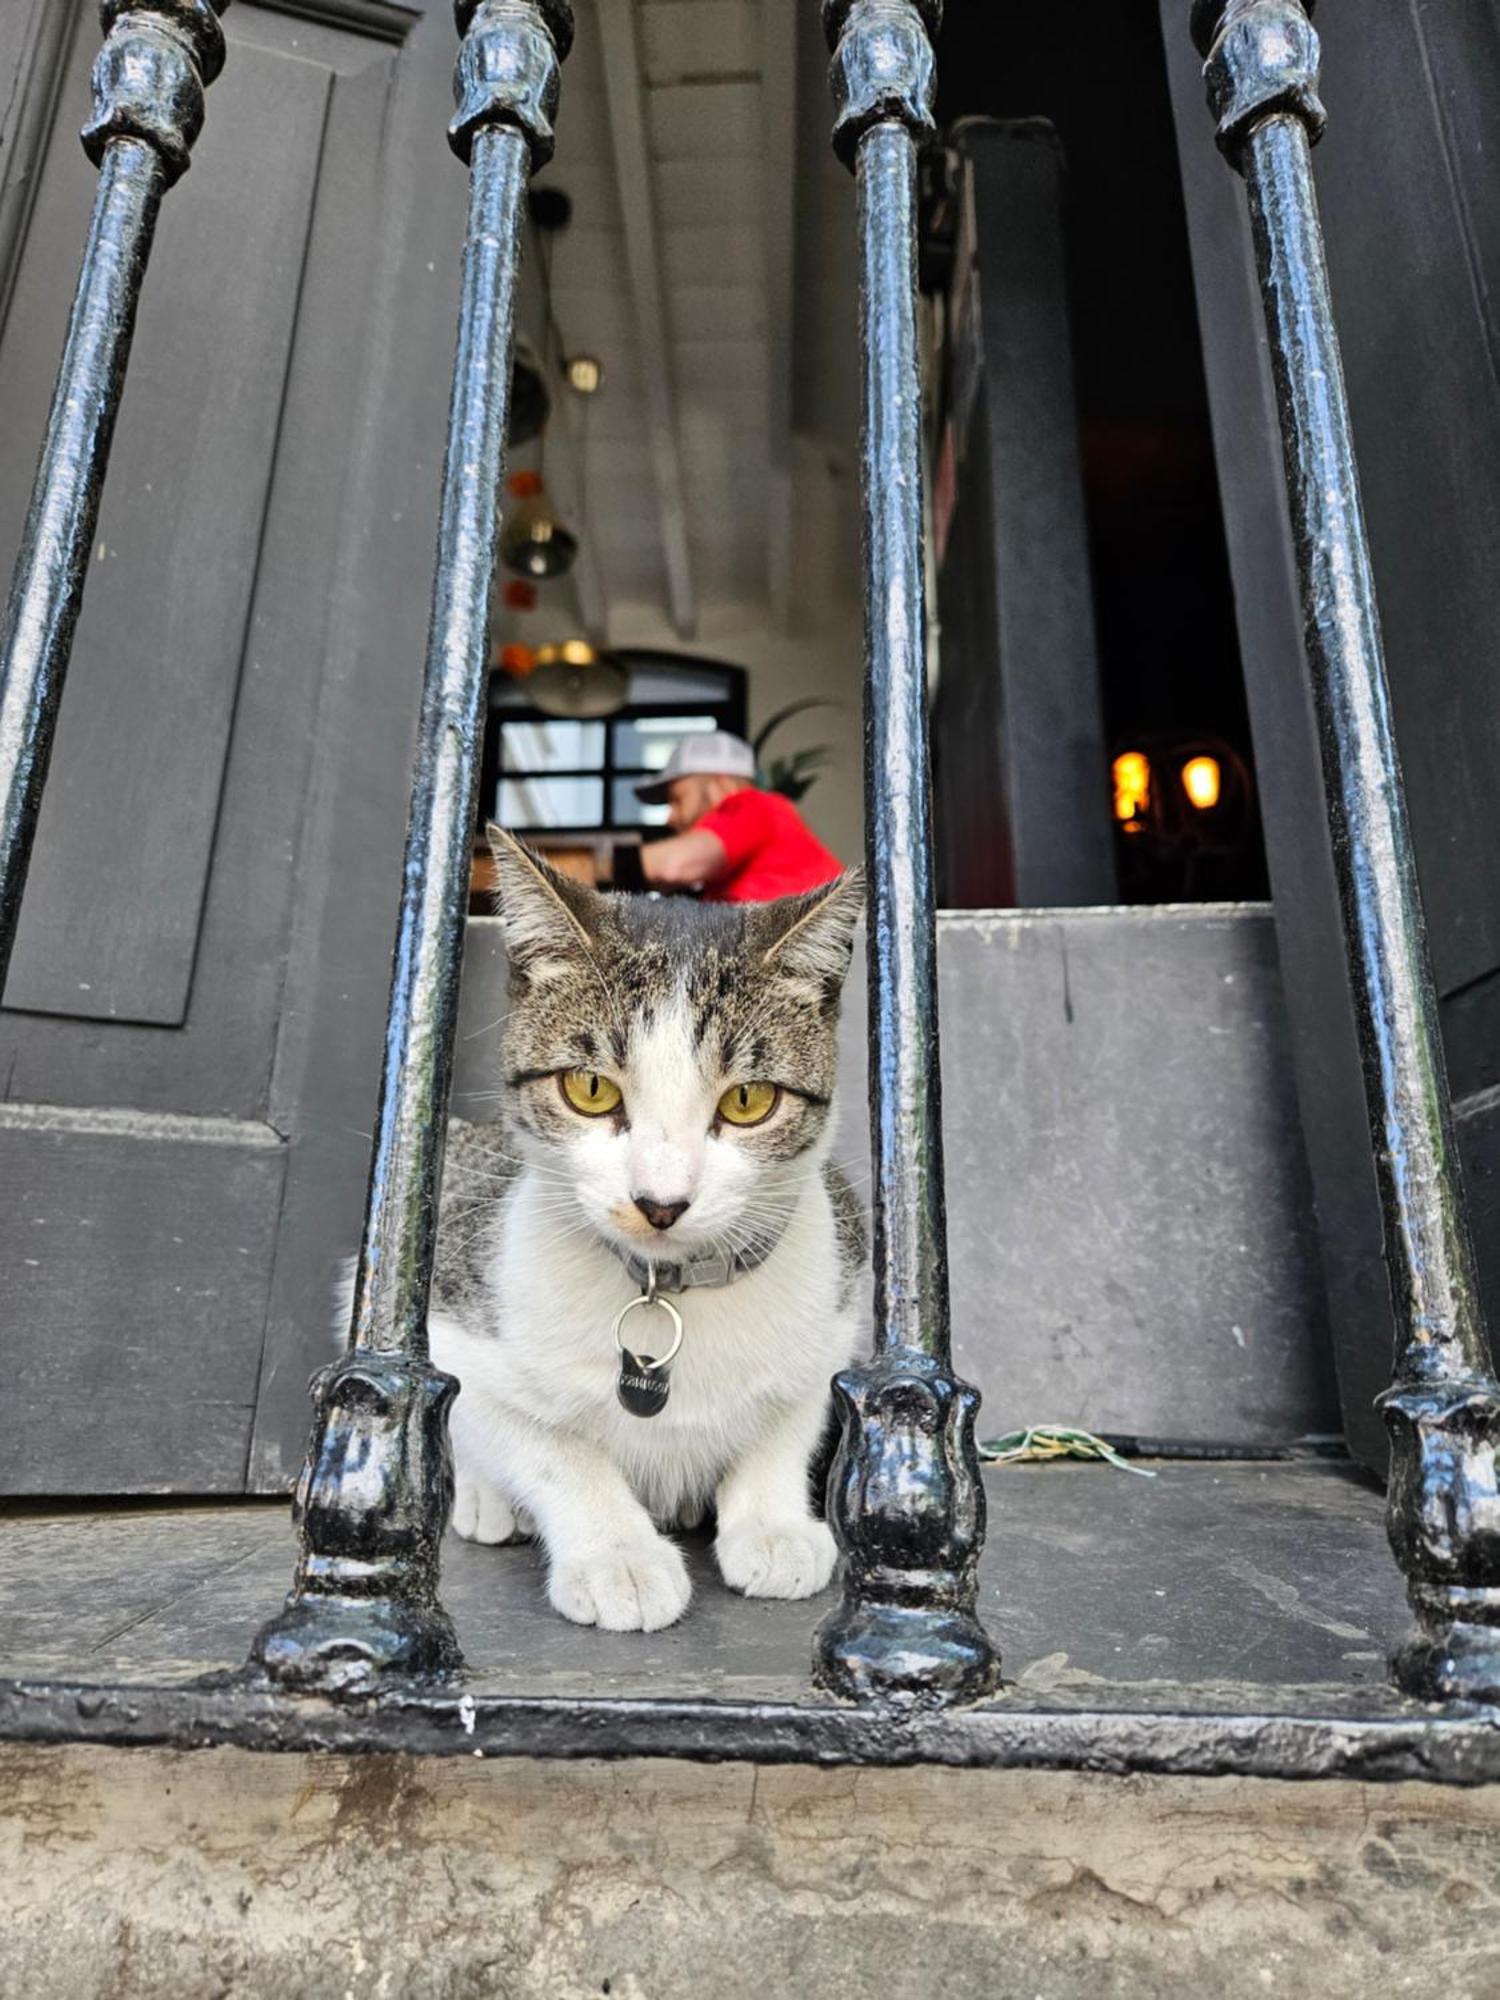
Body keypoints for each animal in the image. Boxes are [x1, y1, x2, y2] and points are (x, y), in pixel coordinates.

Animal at [424, 836, 868, 1632]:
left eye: (748, 1100)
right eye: (590, 1088)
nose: (660, 1203)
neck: (671, 1288)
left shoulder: (838, 1298)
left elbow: (790, 1418)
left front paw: (772, 1524)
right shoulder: (453, 1312)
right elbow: (545, 1444)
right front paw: (617, 1556)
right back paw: (485, 1498)